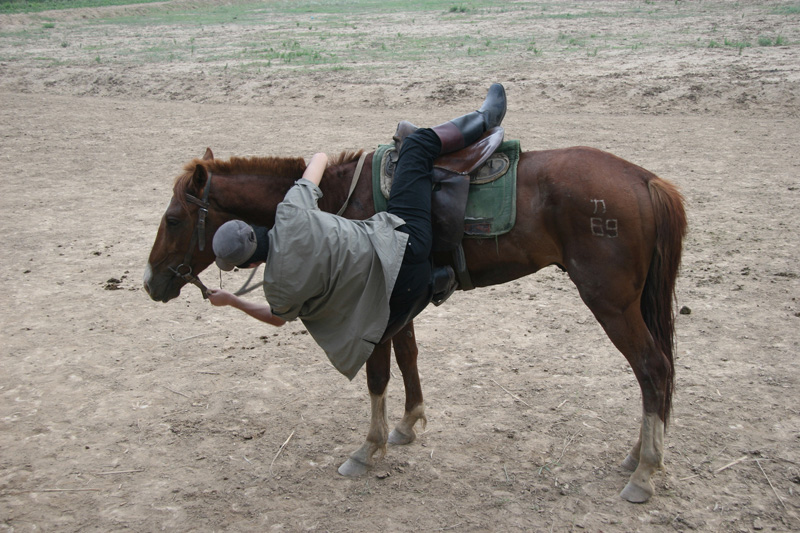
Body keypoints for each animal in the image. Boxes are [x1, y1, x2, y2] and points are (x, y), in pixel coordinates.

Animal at [144, 143, 688, 500]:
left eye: (173, 220)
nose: (151, 282)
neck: (337, 203)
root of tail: (646, 181)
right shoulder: (398, 303)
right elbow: (407, 356)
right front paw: (408, 424)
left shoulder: (374, 302)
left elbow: (378, 375)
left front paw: (368, 448)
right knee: (657, 373)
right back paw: (637, 456)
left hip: (610, 303)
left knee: (653, 369)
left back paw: (645, 472)